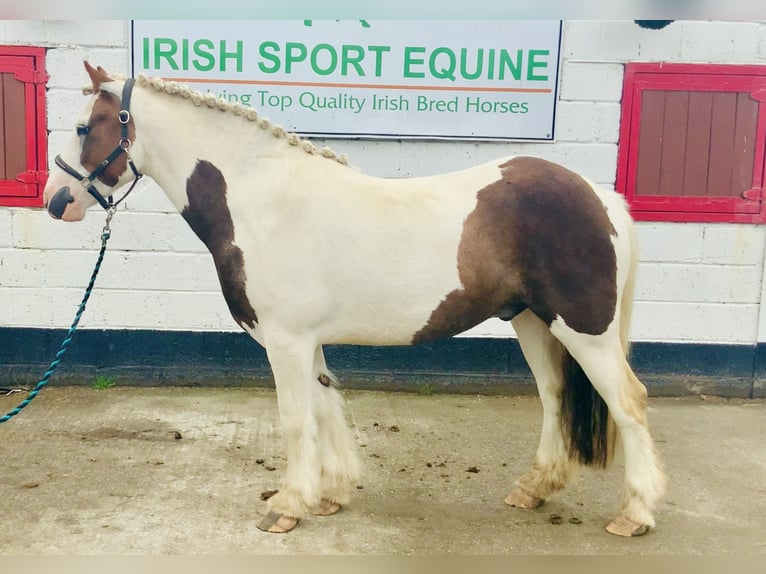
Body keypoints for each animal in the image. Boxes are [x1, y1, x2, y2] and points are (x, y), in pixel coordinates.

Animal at [43, 64, 664, 540]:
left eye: (83, 126)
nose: (56, 202)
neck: (260, 201)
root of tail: (600, 196)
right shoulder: (304, 342)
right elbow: (325, 410)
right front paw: (330, 494)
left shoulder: (286, 342)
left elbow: (296, 420)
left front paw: (287, 507)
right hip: (534, 323)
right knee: (555, 398)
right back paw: (533, 489)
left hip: (584, 329)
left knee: (628, 402)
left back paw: (635, 513)